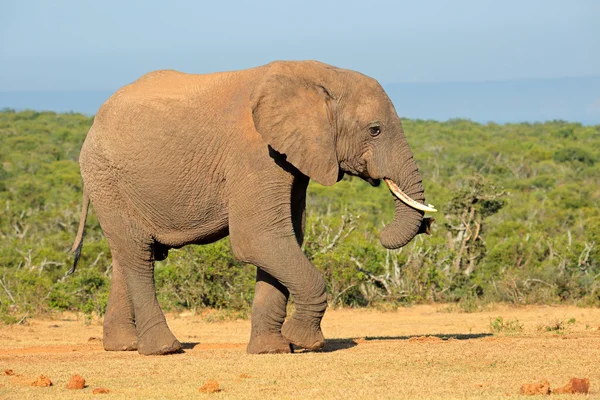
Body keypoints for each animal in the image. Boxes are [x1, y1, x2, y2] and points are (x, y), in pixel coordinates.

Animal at [70, 61, 436, 354]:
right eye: (375, 130)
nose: (427, 226)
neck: (318, 74)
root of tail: (93, 124)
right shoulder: (255, 153)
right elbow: (259, 240)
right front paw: (302, 342)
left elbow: (286, 240)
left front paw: (272, 350)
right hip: (106, 178)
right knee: (138, 255)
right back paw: (164, 349)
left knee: (127, 254)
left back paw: (124, 346)